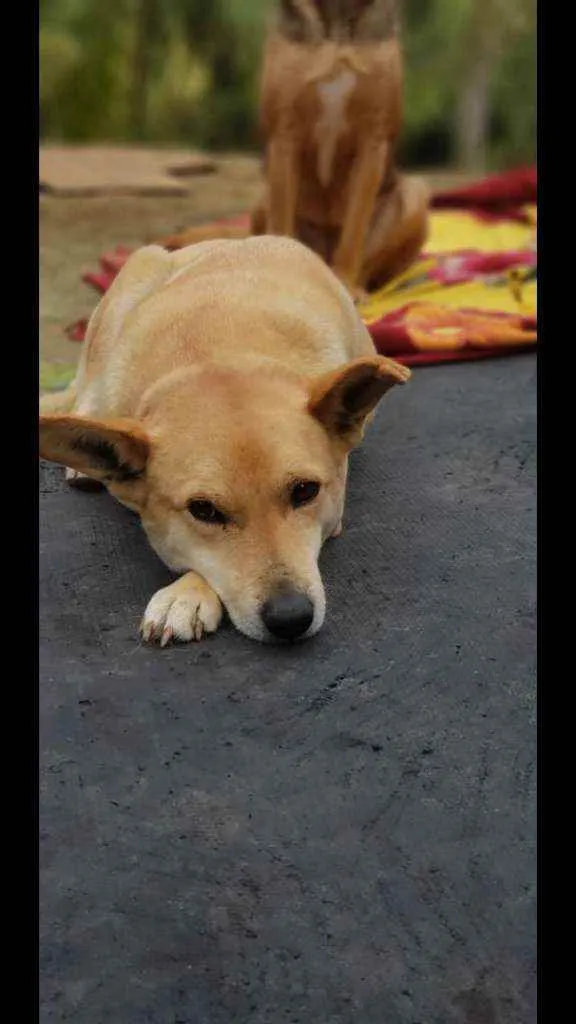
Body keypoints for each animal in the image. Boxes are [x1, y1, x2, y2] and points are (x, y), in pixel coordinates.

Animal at [39, 235, 407, 643]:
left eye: (305, 491)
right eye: (204, 510)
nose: (291, 617)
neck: (214, 358)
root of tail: (231, 239)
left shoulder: (335, 513)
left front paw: (187, 593)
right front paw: (189, 590)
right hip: (130, 282)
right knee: (87, 382)